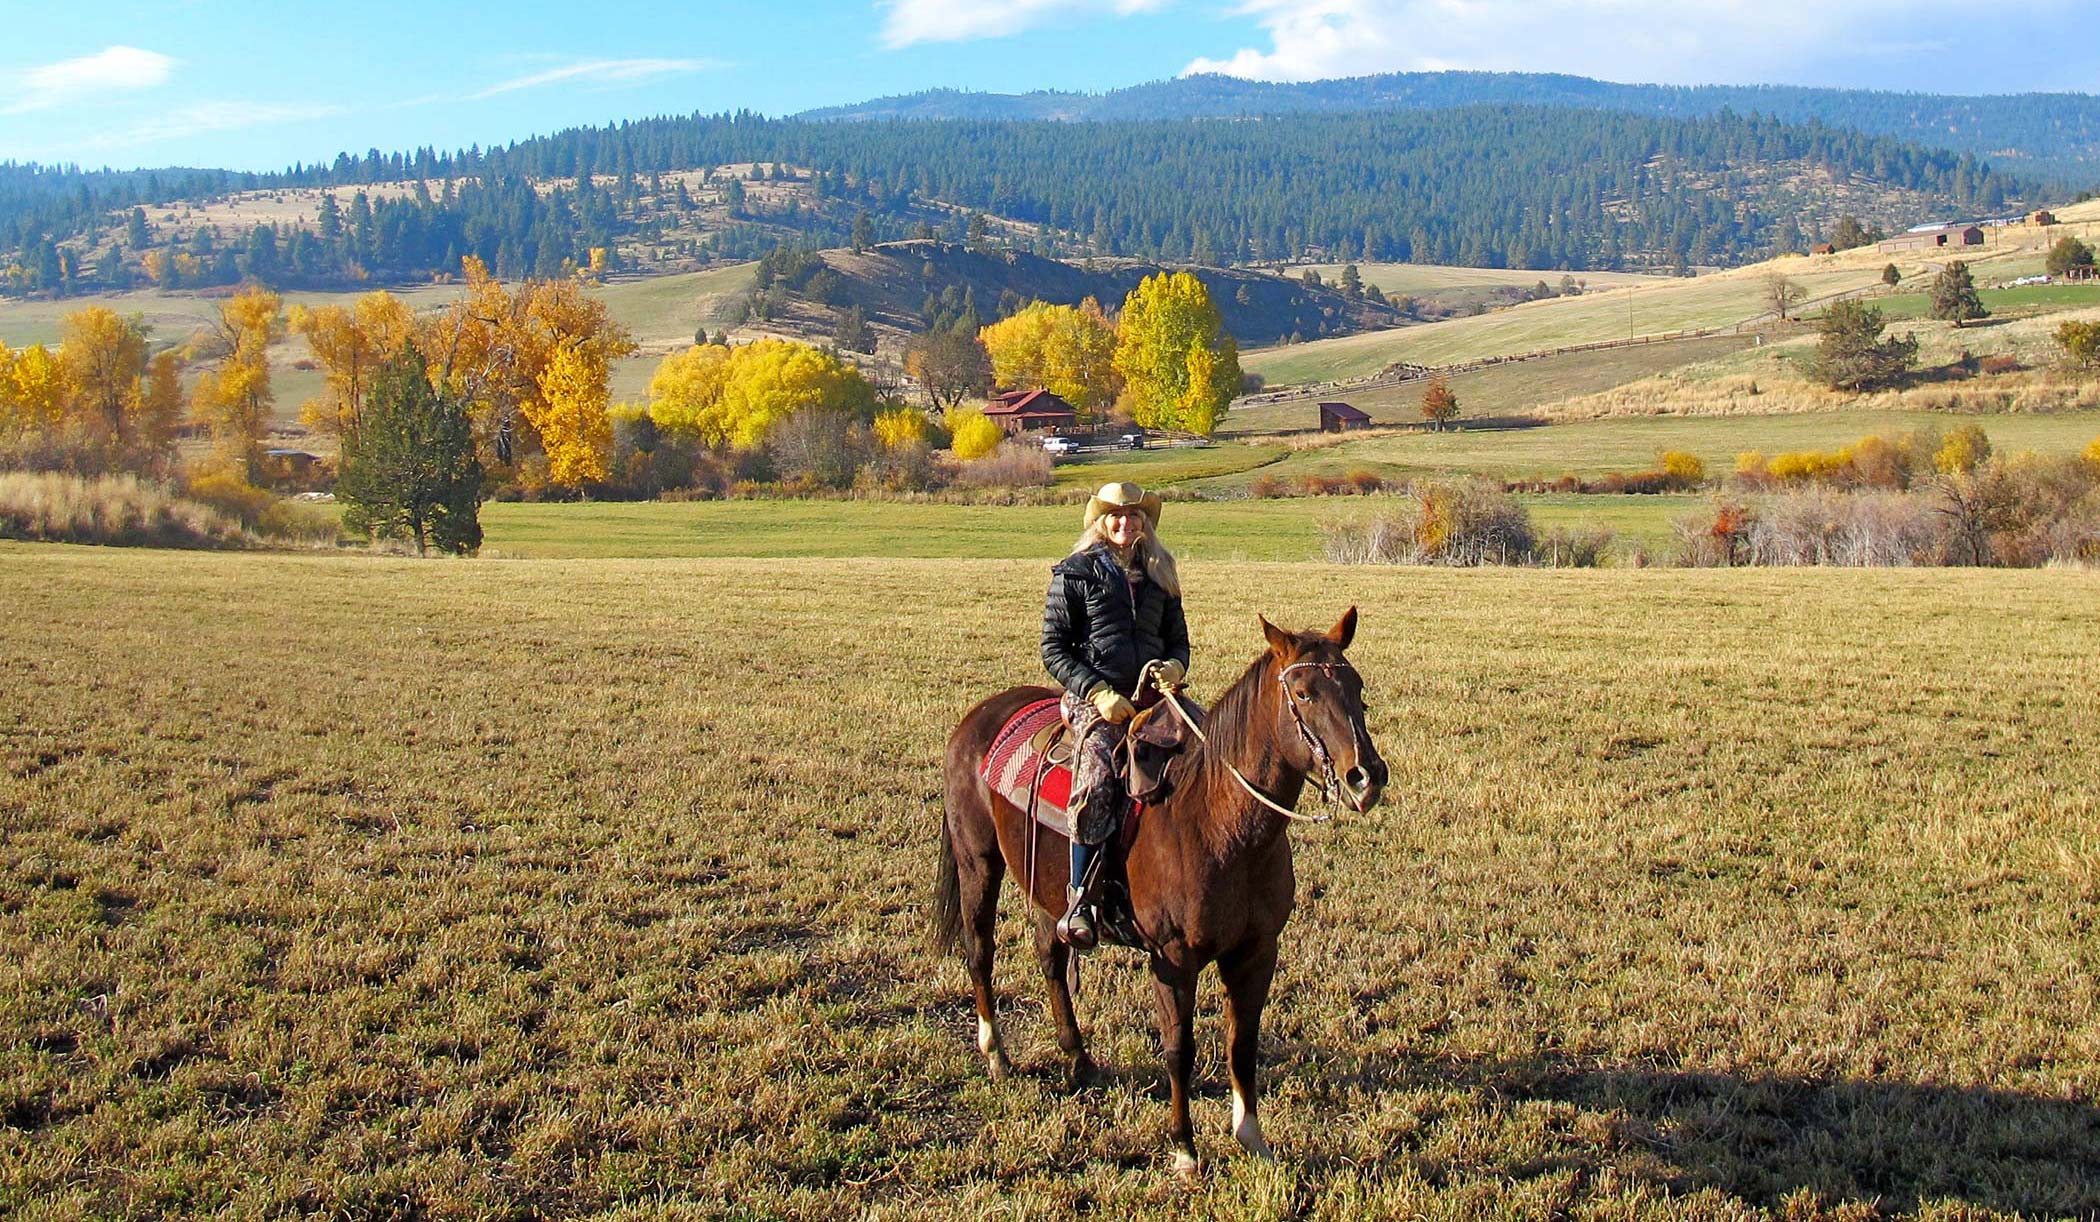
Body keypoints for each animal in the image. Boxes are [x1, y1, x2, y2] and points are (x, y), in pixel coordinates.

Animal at [932, 608, 1385, 1175]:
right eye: (1303, 693)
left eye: (1357, 686)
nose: (1366, 775)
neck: (1217, 821)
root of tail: (979, 716)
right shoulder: (1172, 957)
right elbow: (1179, 1048)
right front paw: (1185, 1149)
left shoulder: (1258, 950)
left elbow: (1243, 1043)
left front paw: (1252, 1138)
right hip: (978, 862)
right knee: (980, 951)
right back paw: (996, 1055)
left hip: (1048, 890)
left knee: (1051, 957)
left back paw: (1079, 1060)